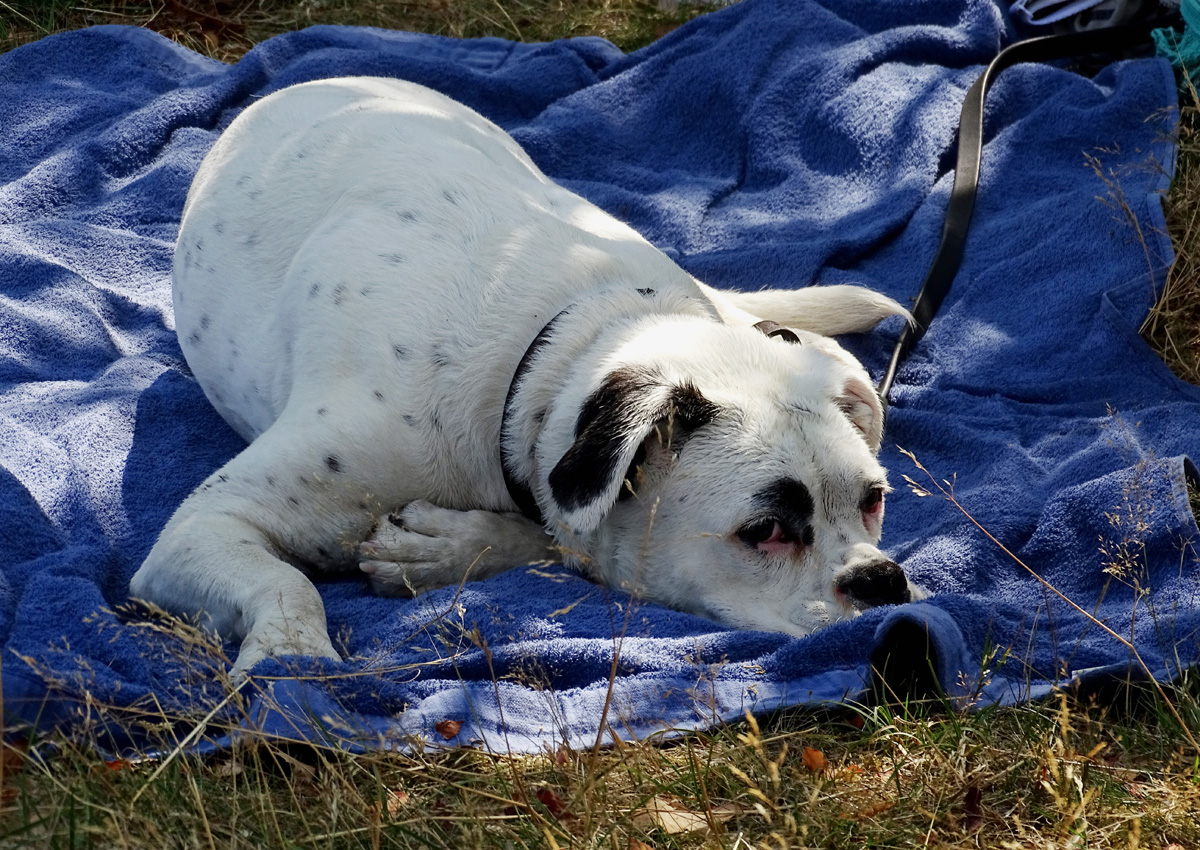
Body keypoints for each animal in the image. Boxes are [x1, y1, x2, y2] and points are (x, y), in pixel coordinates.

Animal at [131, 76, 912, 672]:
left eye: (874, 499)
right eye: (766, 530)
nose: (882, 579)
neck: (581, 329)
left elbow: (555, 537)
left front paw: (447, 549)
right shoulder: (206, 525)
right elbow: (288, 583)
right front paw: (291, 661)